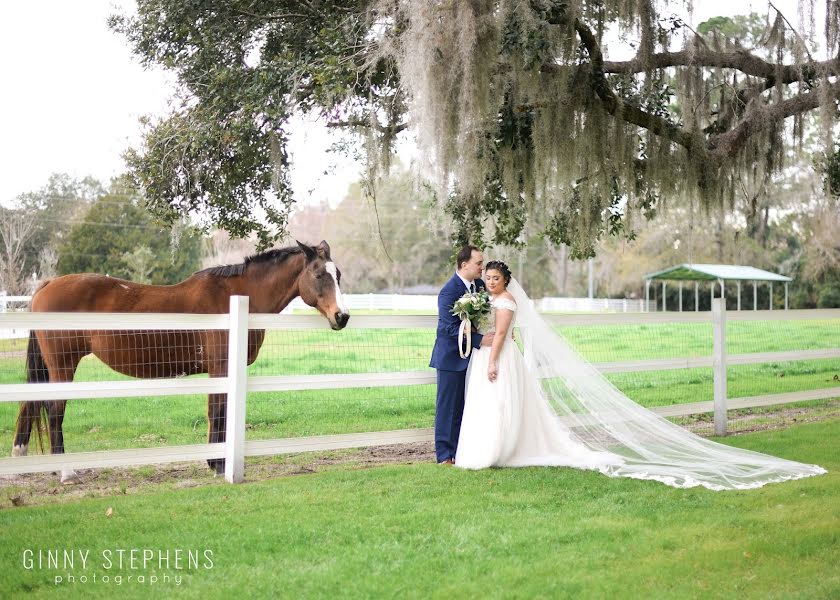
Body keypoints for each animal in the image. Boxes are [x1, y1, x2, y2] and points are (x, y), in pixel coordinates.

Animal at [13, 240, 348, 482]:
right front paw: (217, 464)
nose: (342, 316)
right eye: (319, 274)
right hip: (63, 366)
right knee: (54, 412)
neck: (238, 296)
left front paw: (216, 462)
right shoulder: (220, 368)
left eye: (339, 275)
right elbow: (217, 412)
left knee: (30, 405)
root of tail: (47, 284)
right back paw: (66, 471)